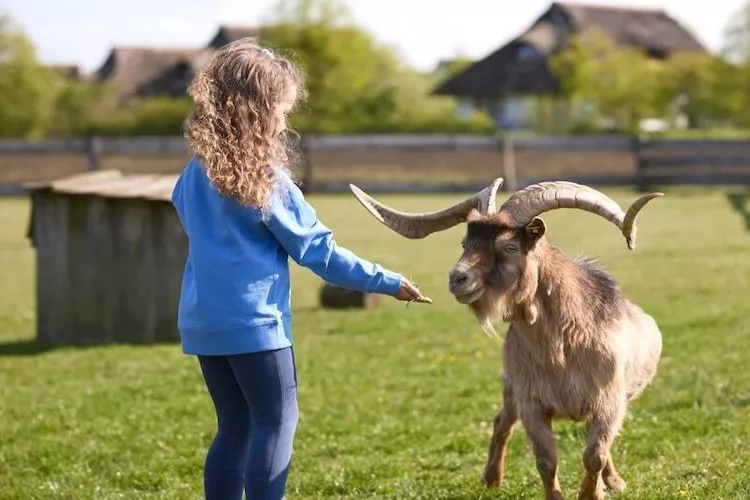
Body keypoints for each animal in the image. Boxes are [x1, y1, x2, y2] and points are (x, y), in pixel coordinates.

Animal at [352, 180, 664, 500]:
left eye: (509, 246)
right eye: (465, 244)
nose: (457, 279)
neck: (562, 348)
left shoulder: (608, 402)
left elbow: (595, 455)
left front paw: (594, 492)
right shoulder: (532, 404)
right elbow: (546, 461)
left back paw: (612, 481)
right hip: (511, 389)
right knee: (502, 422)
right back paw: (492, 478)